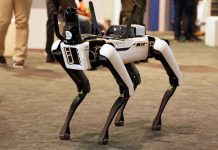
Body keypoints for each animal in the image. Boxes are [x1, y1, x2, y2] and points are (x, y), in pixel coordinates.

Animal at [51, 1, 182, 144]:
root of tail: (150, 36)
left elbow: (124, 89)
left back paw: (156, 122)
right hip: (126, 60)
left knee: (173, 79)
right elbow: (84, 87)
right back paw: (120, 118)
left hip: (158, 47)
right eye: (69, 53)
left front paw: (103, 136)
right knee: (135, 79)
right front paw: (65, 131)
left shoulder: (108, 52)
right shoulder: (57, 51)